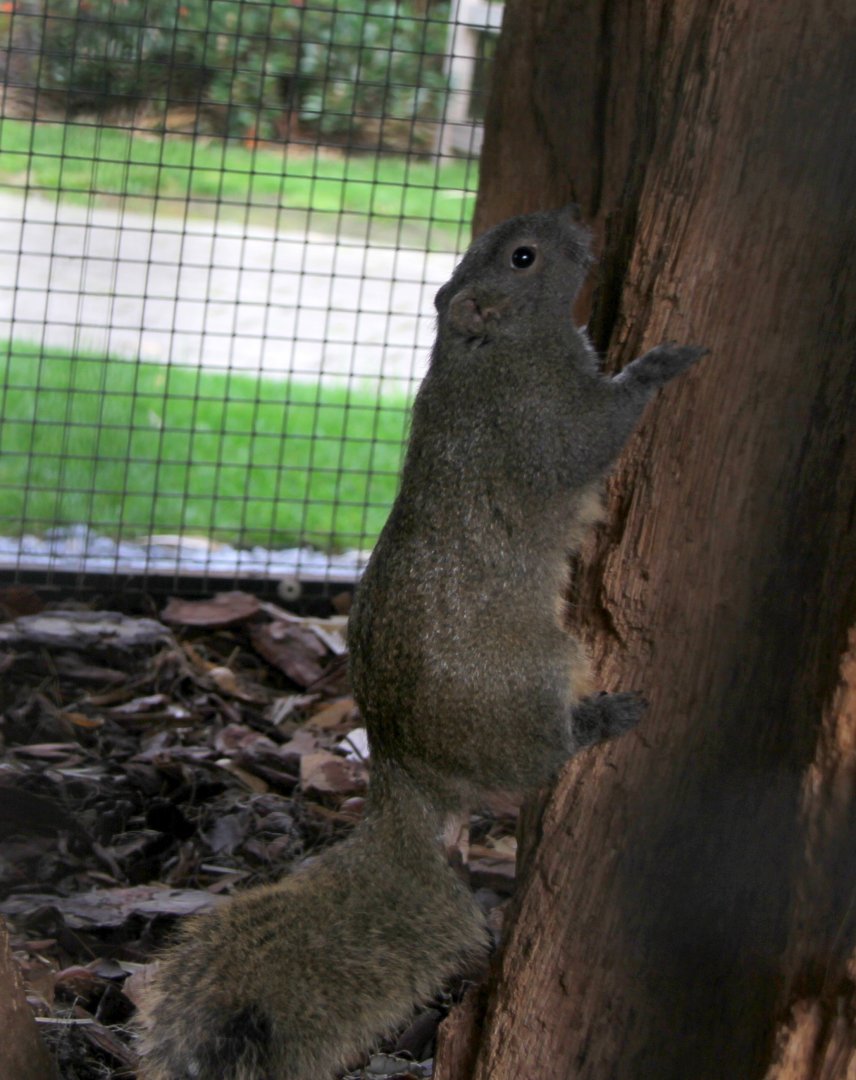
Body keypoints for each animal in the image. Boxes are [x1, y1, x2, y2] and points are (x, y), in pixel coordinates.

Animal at [137, 207, 706, 1080]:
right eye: (524, 256)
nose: (580, 224)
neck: (486, 347)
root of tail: (410, 776)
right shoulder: (536, 422)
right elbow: (593, 437)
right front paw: (660, 365)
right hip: (527, 681)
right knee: (541, 755)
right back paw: (603, 720)